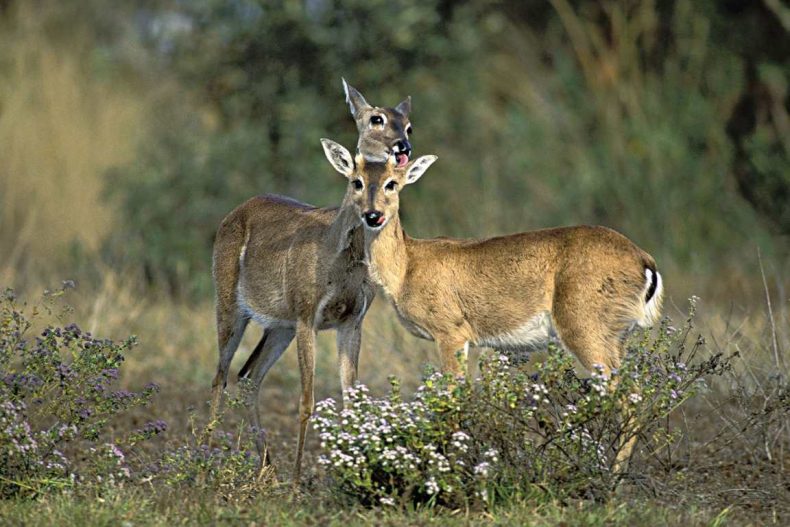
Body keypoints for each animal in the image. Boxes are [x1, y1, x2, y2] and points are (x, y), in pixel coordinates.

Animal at [209, 82, 413, 484]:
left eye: (408, 123)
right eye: (375, 119)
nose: (402, 147)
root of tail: (231, 215)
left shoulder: (351, 320)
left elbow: (351, 397)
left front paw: (354, 469)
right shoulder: (308, 315)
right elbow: (306, 400)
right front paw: (298, 479)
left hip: (279, 326)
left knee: (248, 375)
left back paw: (266, 466)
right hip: (229, 303)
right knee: (220, 374)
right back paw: (203, 457)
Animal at [320, 139, 664, 470]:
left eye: (392, 183)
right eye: (356, 182)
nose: (373, 215)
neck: (406, 269)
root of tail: (645, 261)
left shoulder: (451, 332)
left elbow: (453, 404)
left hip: (584, 326)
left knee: (630, 396)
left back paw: (613, 476)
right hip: (615, 335)